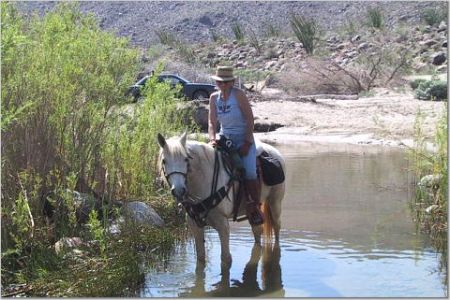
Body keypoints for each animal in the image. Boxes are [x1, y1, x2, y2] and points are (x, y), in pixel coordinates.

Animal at [158, 132, 284, 268]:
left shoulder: (223, 225)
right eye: (164, 161)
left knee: (276, 228)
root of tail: (275, 152)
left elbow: (226, 259)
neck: (204, 181)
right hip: (253, 211)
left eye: (186, 159)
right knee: (257, 230)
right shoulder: (194, 225)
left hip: (275, 202)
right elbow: (200, 258)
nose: (179, 190)